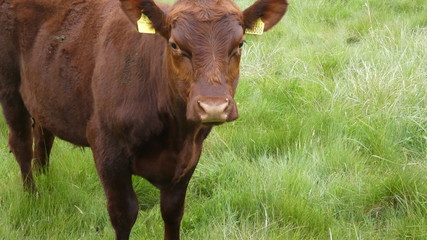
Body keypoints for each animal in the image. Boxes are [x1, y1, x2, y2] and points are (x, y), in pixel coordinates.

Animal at [0, 0, 288, 238]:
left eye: (240, 44)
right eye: (174, 45)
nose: (213, 106)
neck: (174, 135)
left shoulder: (191, 155)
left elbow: (173, 211)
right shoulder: (107, 149)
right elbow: (124, 213)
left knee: (44, 135)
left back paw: (45, 178)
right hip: (10, 88)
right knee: (22, 143)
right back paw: (33, 196)